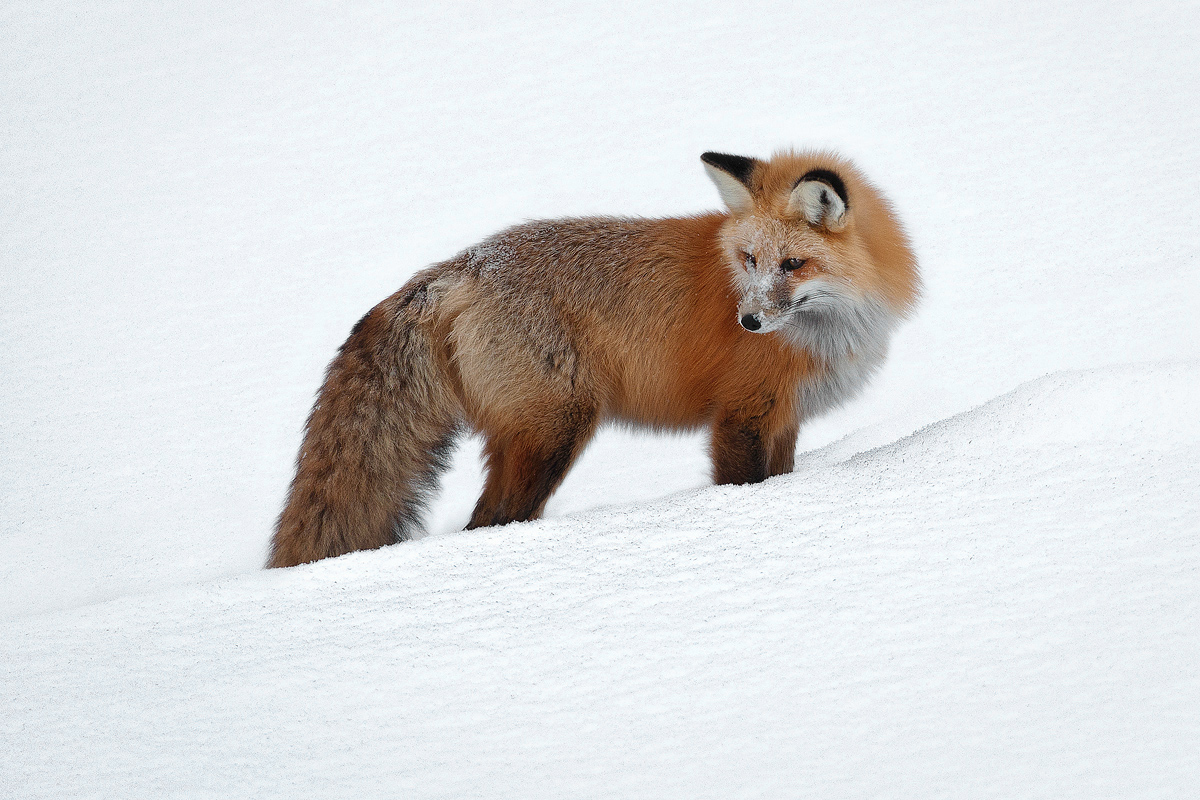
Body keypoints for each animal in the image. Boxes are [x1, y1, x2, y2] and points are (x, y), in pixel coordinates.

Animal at [267, 149, 919, 568]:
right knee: (489, 522)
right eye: (750, 260)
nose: (749, 322)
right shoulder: (743, 417)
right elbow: (741, 485)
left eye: (792, 265)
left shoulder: (783, 421)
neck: (830, 331)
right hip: (554, 432)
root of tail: (460, 266)